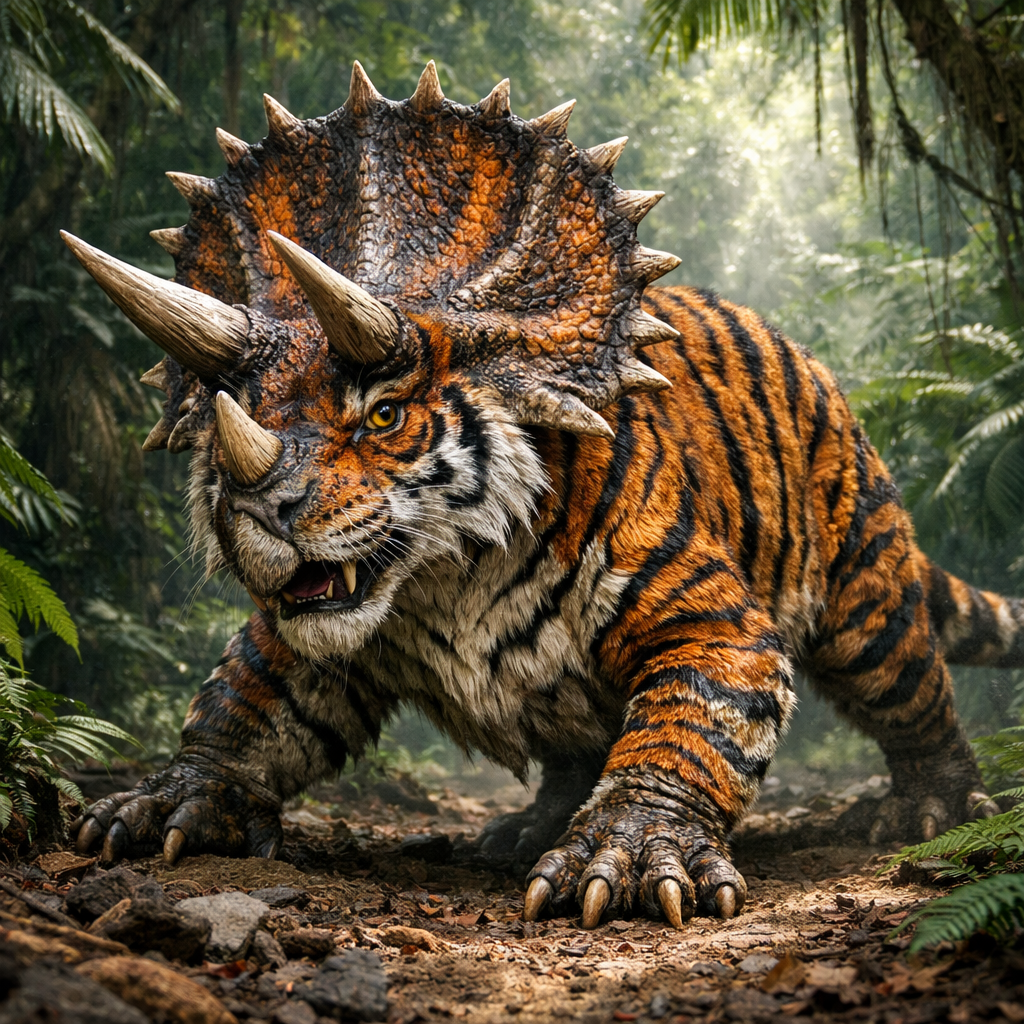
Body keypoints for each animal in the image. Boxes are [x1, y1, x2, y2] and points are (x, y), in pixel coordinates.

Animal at [63, 61, 1022, 929]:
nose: (260, 510)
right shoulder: (304, 634)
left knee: (909, 680)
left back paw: (937, 809)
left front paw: (631, 854)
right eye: (231, 413)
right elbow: (244, 704)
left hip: (864, 576)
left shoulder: (708, 614)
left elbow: (696, 728)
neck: (444, 576)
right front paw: (168, 802)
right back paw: (530, 828)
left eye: (385, 414)